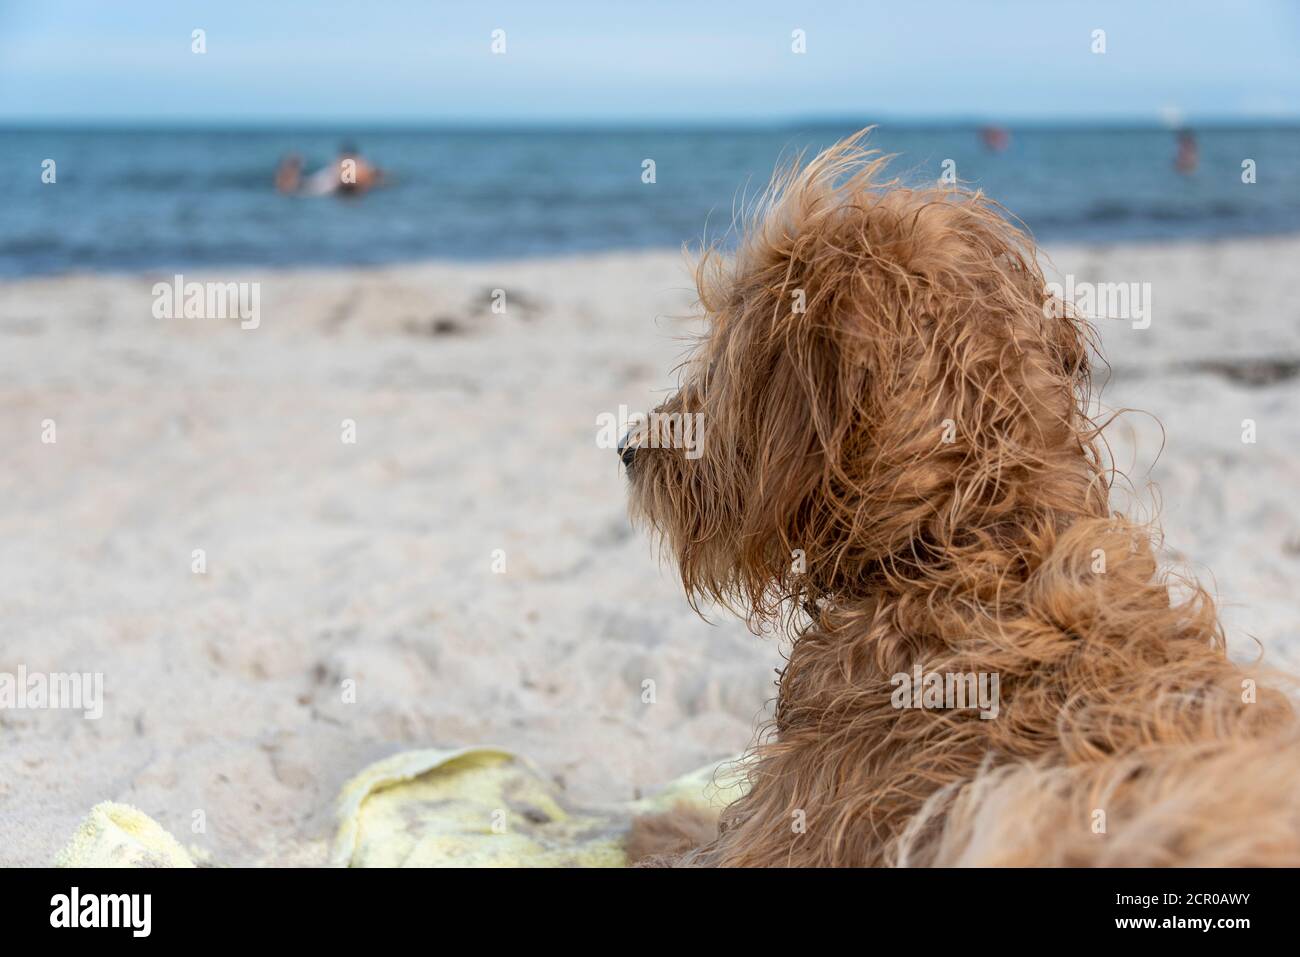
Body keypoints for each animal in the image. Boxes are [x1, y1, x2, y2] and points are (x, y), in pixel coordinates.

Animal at [618, 128, 1300, 868]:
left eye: (723, 352)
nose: (627, 448)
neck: (971, 536)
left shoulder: (783, 829)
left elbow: (685, 837)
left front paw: (651, 818)